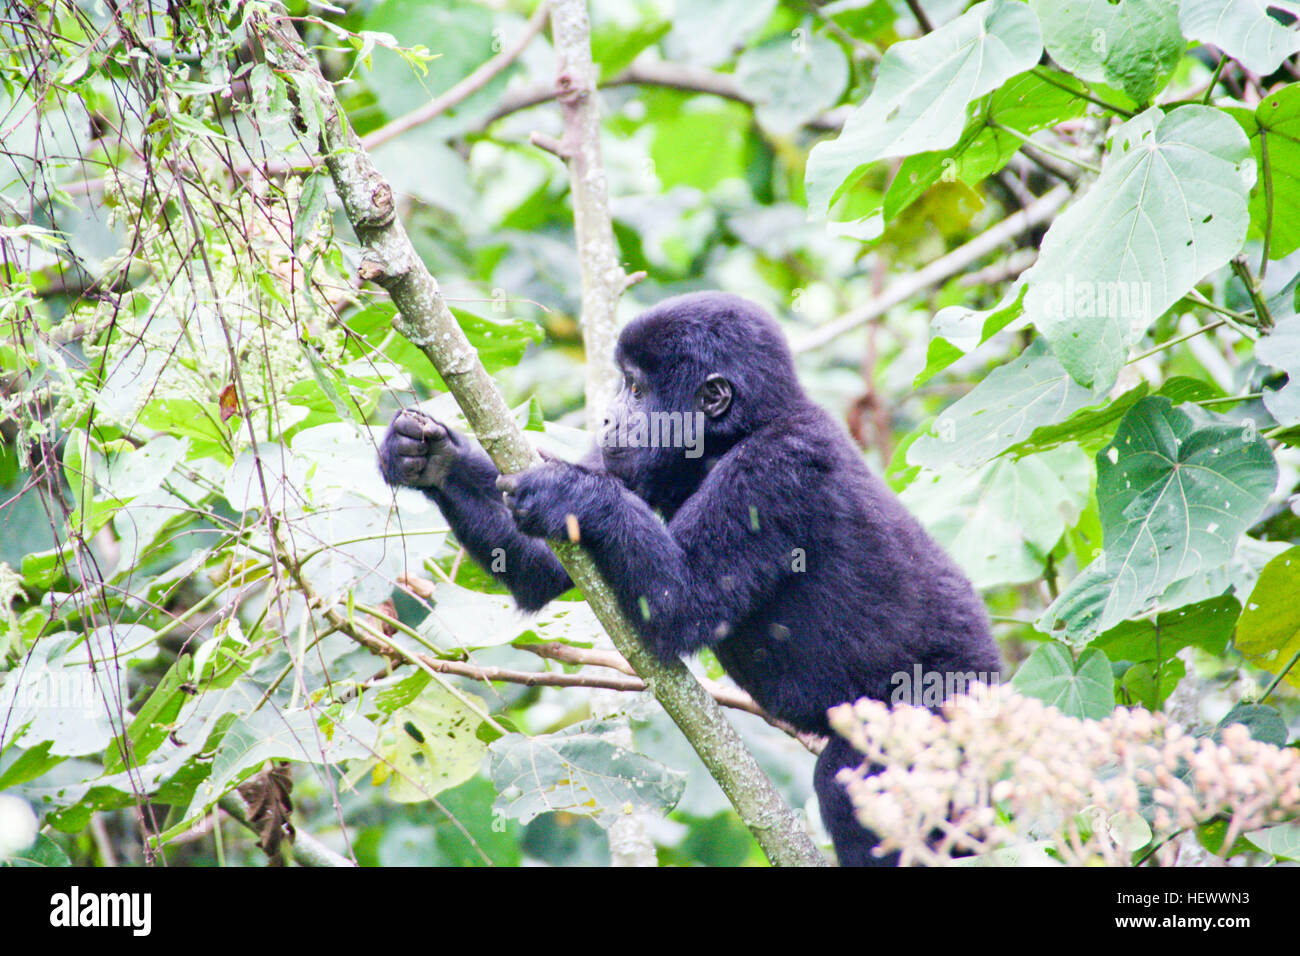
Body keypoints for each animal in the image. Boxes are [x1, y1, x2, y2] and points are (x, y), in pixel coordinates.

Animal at [379, 291, 998, 868]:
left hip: (945, 706)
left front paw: (576, 494)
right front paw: (430, 456)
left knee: (855, 776)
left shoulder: (777, 466)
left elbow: (685, 604)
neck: (734, 435)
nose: (607, 420)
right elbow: (544, 569)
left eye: (635, 390)